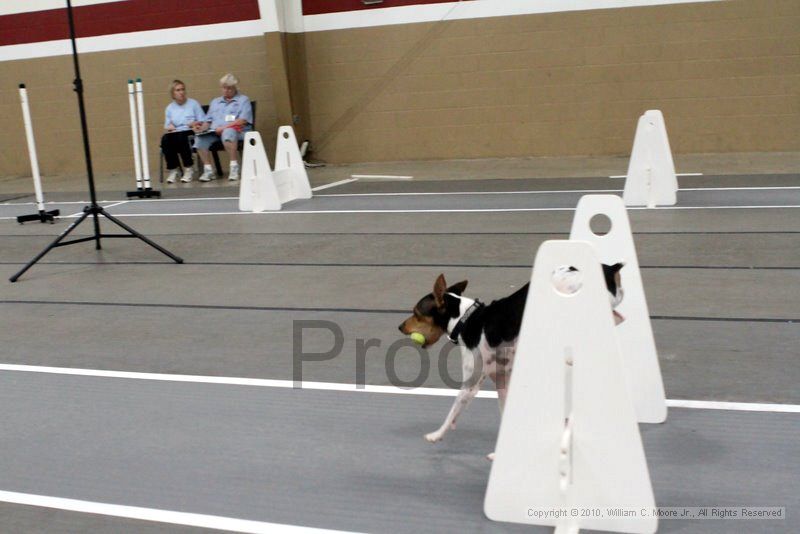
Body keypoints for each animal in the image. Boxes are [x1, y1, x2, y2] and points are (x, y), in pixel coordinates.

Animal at [400, 266, 624, 448]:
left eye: (416, 312)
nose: (400, 327)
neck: (466, 320)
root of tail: (609, 268)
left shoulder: (470, 386)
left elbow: (452, 412)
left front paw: (436, 435)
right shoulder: (502, 383)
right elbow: (504, 413)